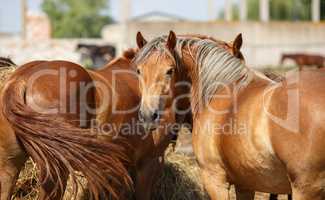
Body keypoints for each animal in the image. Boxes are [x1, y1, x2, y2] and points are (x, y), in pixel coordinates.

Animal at [134, 30, 325, 199]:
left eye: (170, 71)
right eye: (138, 71)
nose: (148, 115)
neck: (218, 90)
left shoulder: (215, 180)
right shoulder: (245, 185)